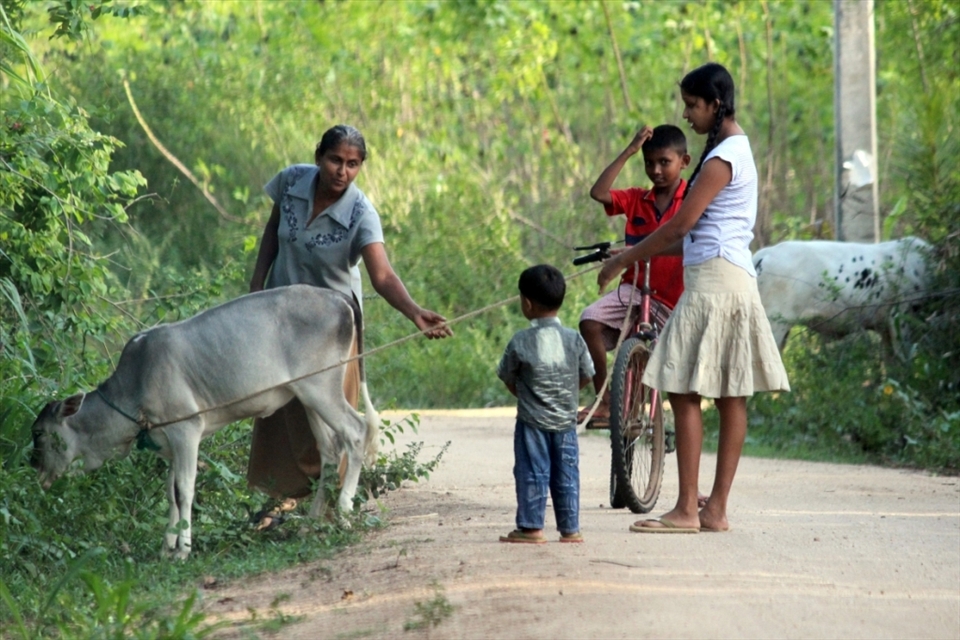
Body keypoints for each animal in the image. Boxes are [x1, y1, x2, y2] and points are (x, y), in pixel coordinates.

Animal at [30, 284, 379, 559]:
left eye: (40, 434)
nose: (33, 467)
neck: (135, 384)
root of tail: (338, 297)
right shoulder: (168, 442)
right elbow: (170, 491)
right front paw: (167, 547)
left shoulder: (186, 429)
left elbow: (185, 488)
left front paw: (183, 548)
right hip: (307, 397)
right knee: (330, 450)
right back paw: (312, 523)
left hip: (321, 388)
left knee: (356, 431)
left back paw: (344, 510)